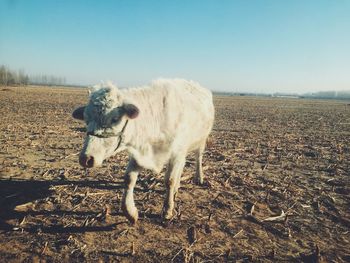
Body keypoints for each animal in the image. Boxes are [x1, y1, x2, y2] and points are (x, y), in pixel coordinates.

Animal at [72, 79, 215, 225]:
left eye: (114, 119)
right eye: (86, 119)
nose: (86, 158)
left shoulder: (176, 154)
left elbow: (169, 180)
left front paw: (167, 210)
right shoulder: (139, 154)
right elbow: (129, 179)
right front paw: (130, 212)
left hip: (201, 141)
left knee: (198, 158)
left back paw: (199, 177)